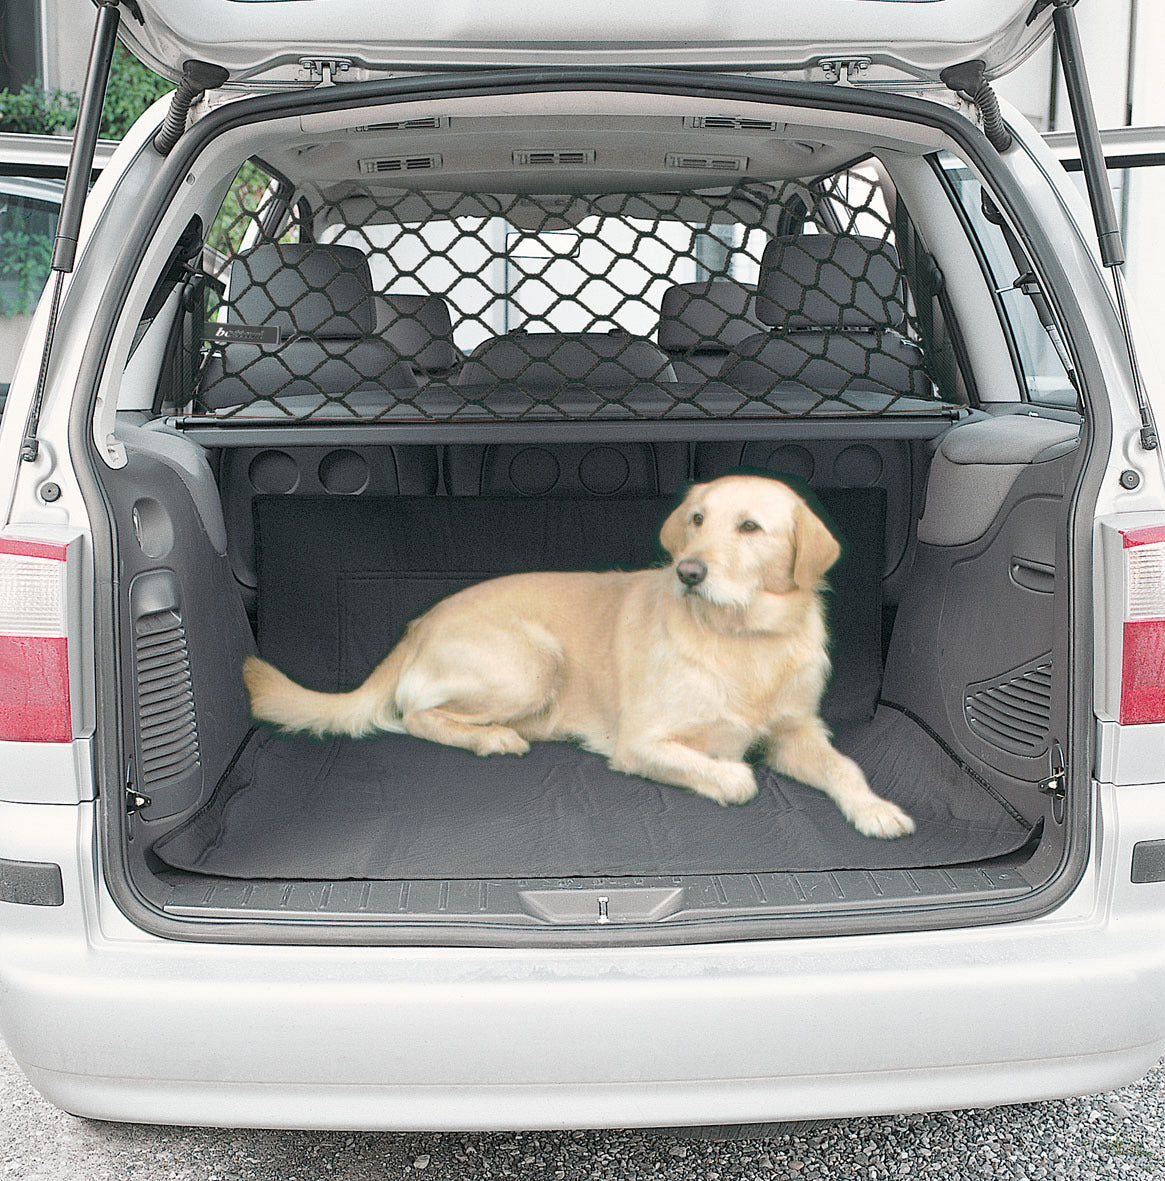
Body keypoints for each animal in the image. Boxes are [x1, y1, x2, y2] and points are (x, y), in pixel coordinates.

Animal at [245, 472, 912, 840]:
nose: (688, 571)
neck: (740, 638)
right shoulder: (642, 741)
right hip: (532, 660)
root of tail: (420, 622)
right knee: (414, 715)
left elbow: (845, 769)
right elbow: (729, 772)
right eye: (697, 520)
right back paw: (492, 738)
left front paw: (876, 809)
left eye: (750, 527)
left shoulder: (797, 731)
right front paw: (730, 778)